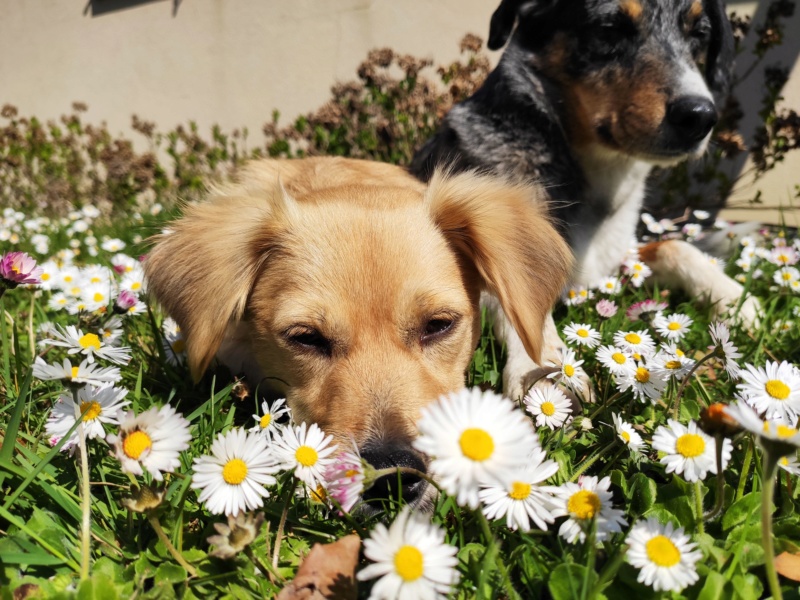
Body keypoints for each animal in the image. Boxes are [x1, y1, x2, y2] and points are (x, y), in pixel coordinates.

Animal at [412, 0, 756, 400]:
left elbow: (673, 245)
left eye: (699, 34)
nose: (699, 115)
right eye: (609, 28)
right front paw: (543, 369)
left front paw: (734, 298)